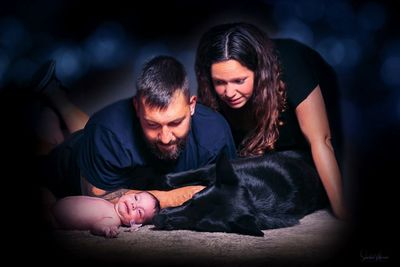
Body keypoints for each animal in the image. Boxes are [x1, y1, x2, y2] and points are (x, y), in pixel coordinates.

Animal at [152, 152, 326, 238]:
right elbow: (168, 179)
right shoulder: (213, 169)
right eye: (192, 201)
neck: (254, 199)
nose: (157, 218)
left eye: (200, 225)